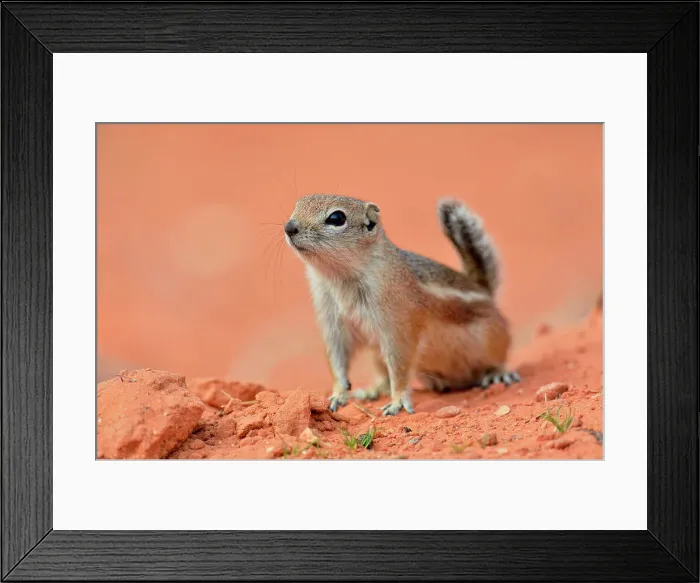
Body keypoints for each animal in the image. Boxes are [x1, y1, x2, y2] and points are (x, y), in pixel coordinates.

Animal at [284, 194, 519, 416]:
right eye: (298, 204)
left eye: (336, 218)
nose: (289, 227)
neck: (338, 278)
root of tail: (484, 291)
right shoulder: (333, 322)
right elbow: (337, 360)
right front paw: (338, 395)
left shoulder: (398, 327)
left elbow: (400, 369)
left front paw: (397, 403)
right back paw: (371, 391)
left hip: (491, 339)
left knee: (499, 357)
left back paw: (498, 374)